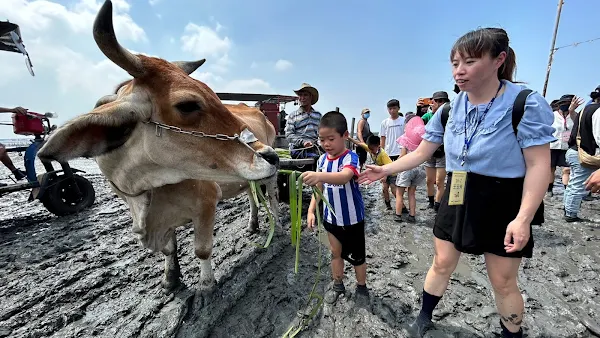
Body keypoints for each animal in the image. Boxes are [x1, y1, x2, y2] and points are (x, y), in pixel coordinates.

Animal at [36, 0, 280, 290]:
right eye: (187, 105)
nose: (270, 156)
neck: (144, 186)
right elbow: (169, 249)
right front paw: (170, 279)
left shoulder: (207, 205)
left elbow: (202, 250)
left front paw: (207, 285)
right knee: (253, 197)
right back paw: (253, 224)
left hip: (270, 180)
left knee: (272, 197)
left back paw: (278, 224)